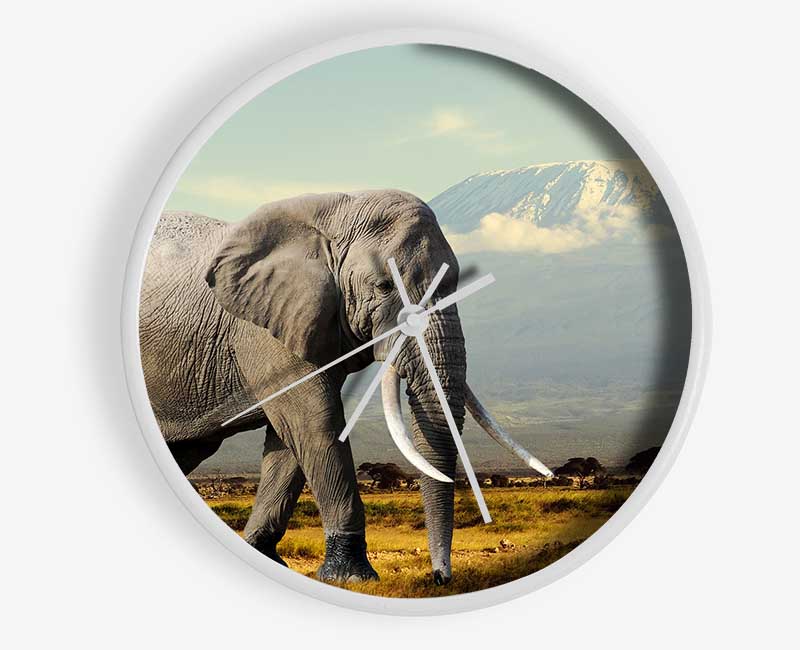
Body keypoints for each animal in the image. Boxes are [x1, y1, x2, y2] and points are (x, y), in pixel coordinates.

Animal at [139, 189, 539, 585]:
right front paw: (353, 577)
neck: (334, 210)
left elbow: (290, 443)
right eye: (384, 286)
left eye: (457, 284)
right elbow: (315, 424)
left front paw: (265, 556)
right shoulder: (266, 327)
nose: (441, 578)